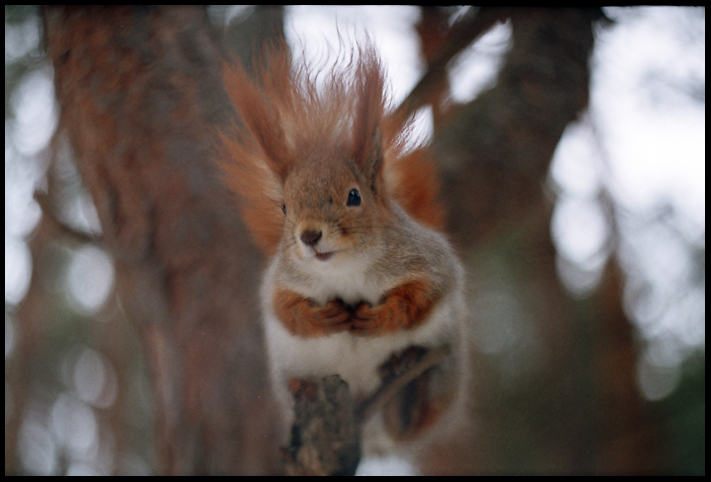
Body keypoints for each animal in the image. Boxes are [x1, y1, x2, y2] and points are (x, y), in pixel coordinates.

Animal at [220, 40, 470, 456]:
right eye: (284, 207)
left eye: (354, 196)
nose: (308, 236)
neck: (346, 269)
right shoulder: (281, 279)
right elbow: (283, 308)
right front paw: (319, 318)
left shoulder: (428, 260)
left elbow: (424, 293)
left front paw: (384, 316)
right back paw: (303, 388)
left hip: (445, 369)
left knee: (414, 418)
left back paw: (406, 371)